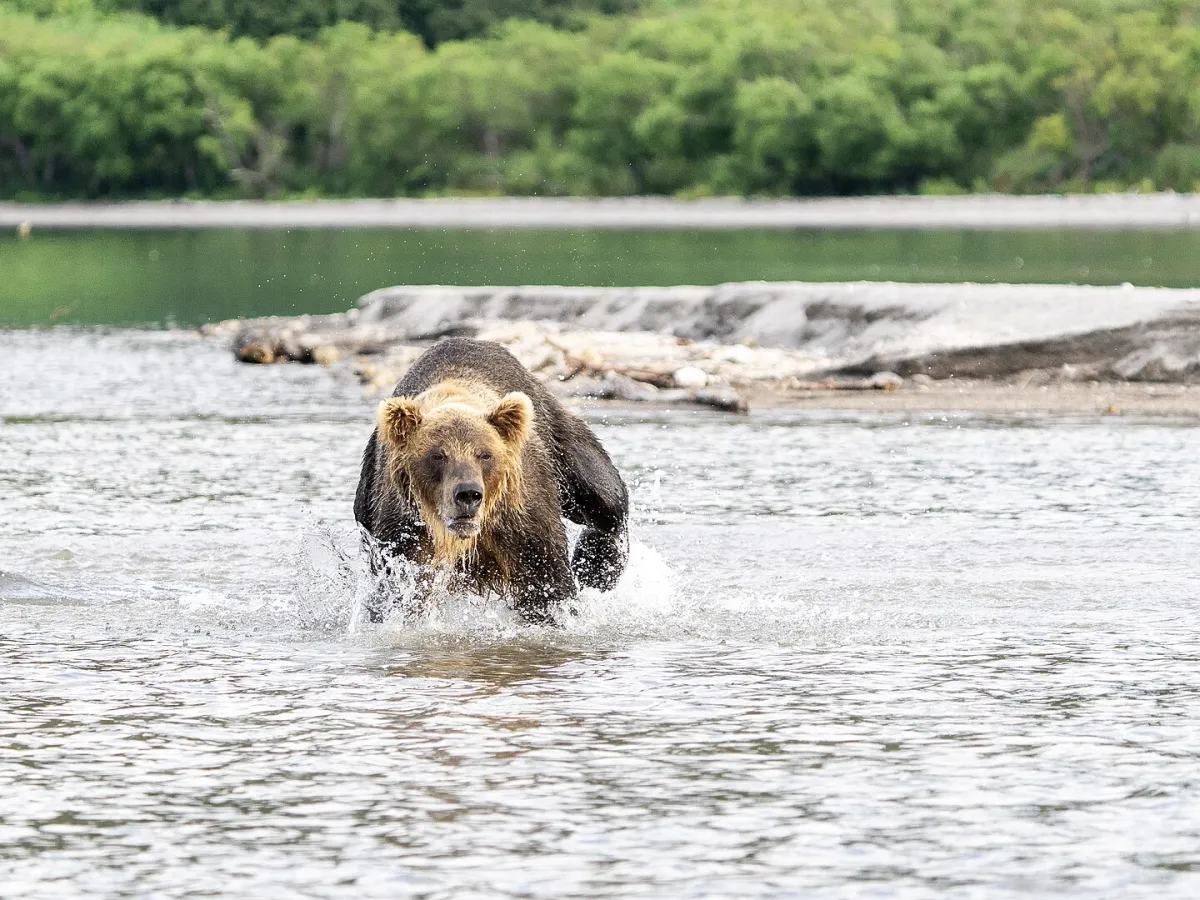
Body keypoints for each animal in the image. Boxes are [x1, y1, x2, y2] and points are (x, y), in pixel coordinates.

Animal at [354, 338, 629, 623]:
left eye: (485, 454)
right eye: (437, 455)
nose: (468, 494)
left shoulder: (521, 512)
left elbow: (546, 579)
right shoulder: (405, 526)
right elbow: (401, 587)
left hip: (554, 434)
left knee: (602, 494)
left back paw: (595, 567)